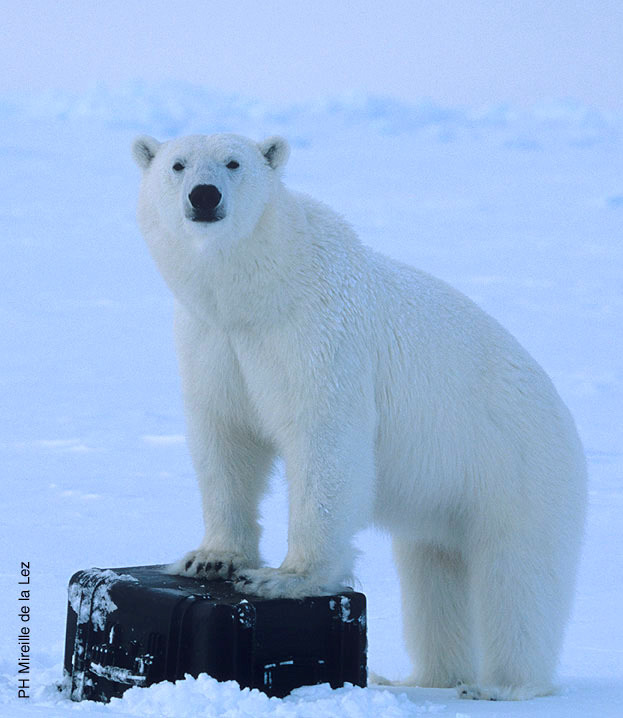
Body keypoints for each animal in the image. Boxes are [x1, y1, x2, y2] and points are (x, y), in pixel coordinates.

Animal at [133, 134, 588, 704]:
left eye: (233, 163)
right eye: (178, 165)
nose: (204, 196)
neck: (260, 292)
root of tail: (567, 420)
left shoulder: (318, 335)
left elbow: (325, 442)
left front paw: (284, 578)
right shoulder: (211, 341)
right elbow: (225, 440)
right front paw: (213, 558)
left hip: (518, 471)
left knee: (518, 577)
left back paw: (502, 686)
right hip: (446, 501)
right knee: (433, 575)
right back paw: (428, 677)